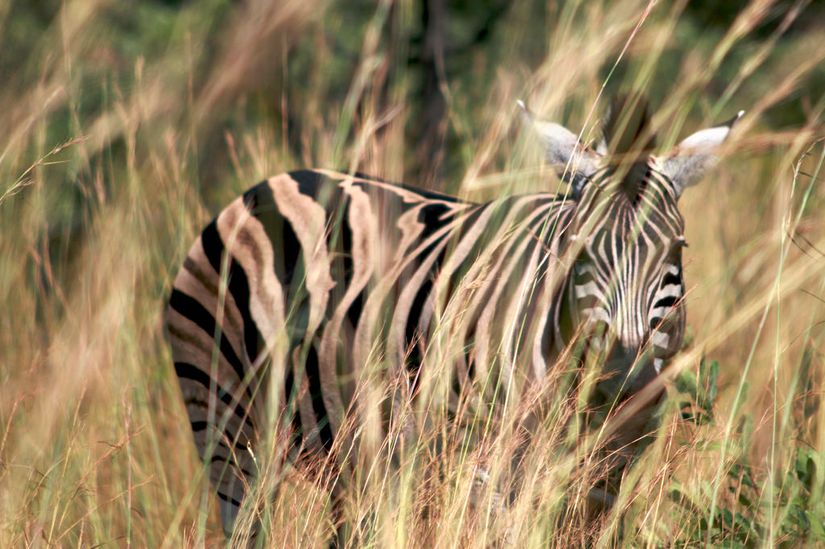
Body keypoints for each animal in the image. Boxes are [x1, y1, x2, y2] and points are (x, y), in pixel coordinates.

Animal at [166, 96, 740, 536]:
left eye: (676, 252)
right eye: (577, 251)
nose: (624, 380)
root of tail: (268, 183)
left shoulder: (606, 480)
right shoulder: (491, 470)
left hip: (346, 459)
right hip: (227, 428)